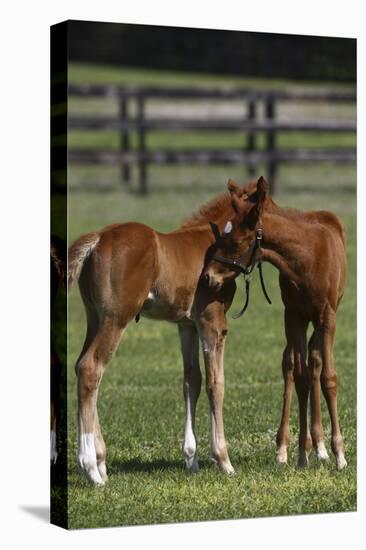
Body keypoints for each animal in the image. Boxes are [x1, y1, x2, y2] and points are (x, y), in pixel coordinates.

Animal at [69, 195, 247, 488]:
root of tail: (97, 238)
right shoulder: (213, 323)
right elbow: (216, 384)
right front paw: (224, 462)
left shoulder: (187, 325)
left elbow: (192, 381)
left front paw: (192, 462)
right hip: (116, 318)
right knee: (90, 368)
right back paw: (92, 469)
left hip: (94, 316)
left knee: (81, 367)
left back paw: (101, 461)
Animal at [204, 179, 348, 472]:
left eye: (236, 241)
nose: (209, 277)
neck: (306, 258)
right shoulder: (293, 316)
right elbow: (301, 377)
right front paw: (301, 454)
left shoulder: (327, 317)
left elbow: (328, 378)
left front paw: (339, 454)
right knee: (293, 365)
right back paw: (296, 447)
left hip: (321, 321)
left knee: (316, 361)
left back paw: (322, 447)